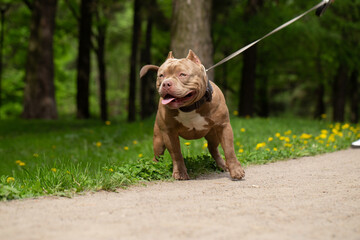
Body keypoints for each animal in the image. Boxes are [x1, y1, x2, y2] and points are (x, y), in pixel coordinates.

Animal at [140, 49, 245, 180]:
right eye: (161, 75)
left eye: (182, 74)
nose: (166, 84)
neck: (190, 107)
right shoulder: (169, 133)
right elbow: (176, 154)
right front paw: (180, 172)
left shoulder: (223, 126)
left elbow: (229, 150)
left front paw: (236, 170)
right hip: (159, 139)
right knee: (158, 155)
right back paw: (154, 167)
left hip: (214, 134)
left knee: (213, 148)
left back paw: (222, 164)